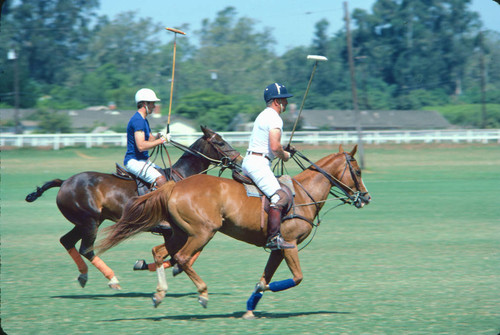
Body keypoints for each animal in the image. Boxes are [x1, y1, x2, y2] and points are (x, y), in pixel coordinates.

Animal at [25, 127, 242, 290]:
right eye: (220, 143)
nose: (239, 162)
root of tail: (64, 182)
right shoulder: (174, 230)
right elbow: (179, 255)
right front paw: (160, 266)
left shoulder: (176, 232)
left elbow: (178, 255)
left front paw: (147, 265)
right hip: (90, 221)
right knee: (86, 249)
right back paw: (112, 279)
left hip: (86, 221)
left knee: (66, 241)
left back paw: (83, 275)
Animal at [97, 145, 372, 318]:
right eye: (358, 171)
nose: (366, 197)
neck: (305, 194)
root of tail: (173, 187)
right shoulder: (290, 243)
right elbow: (295, 278)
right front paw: (260, 295)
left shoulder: (278, 247)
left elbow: (265, 277)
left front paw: (250, 307)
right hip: (203, 232)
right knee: (182, 258)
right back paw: (202, 294)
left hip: (180, 232)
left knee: (159, 251)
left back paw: (158, 294)